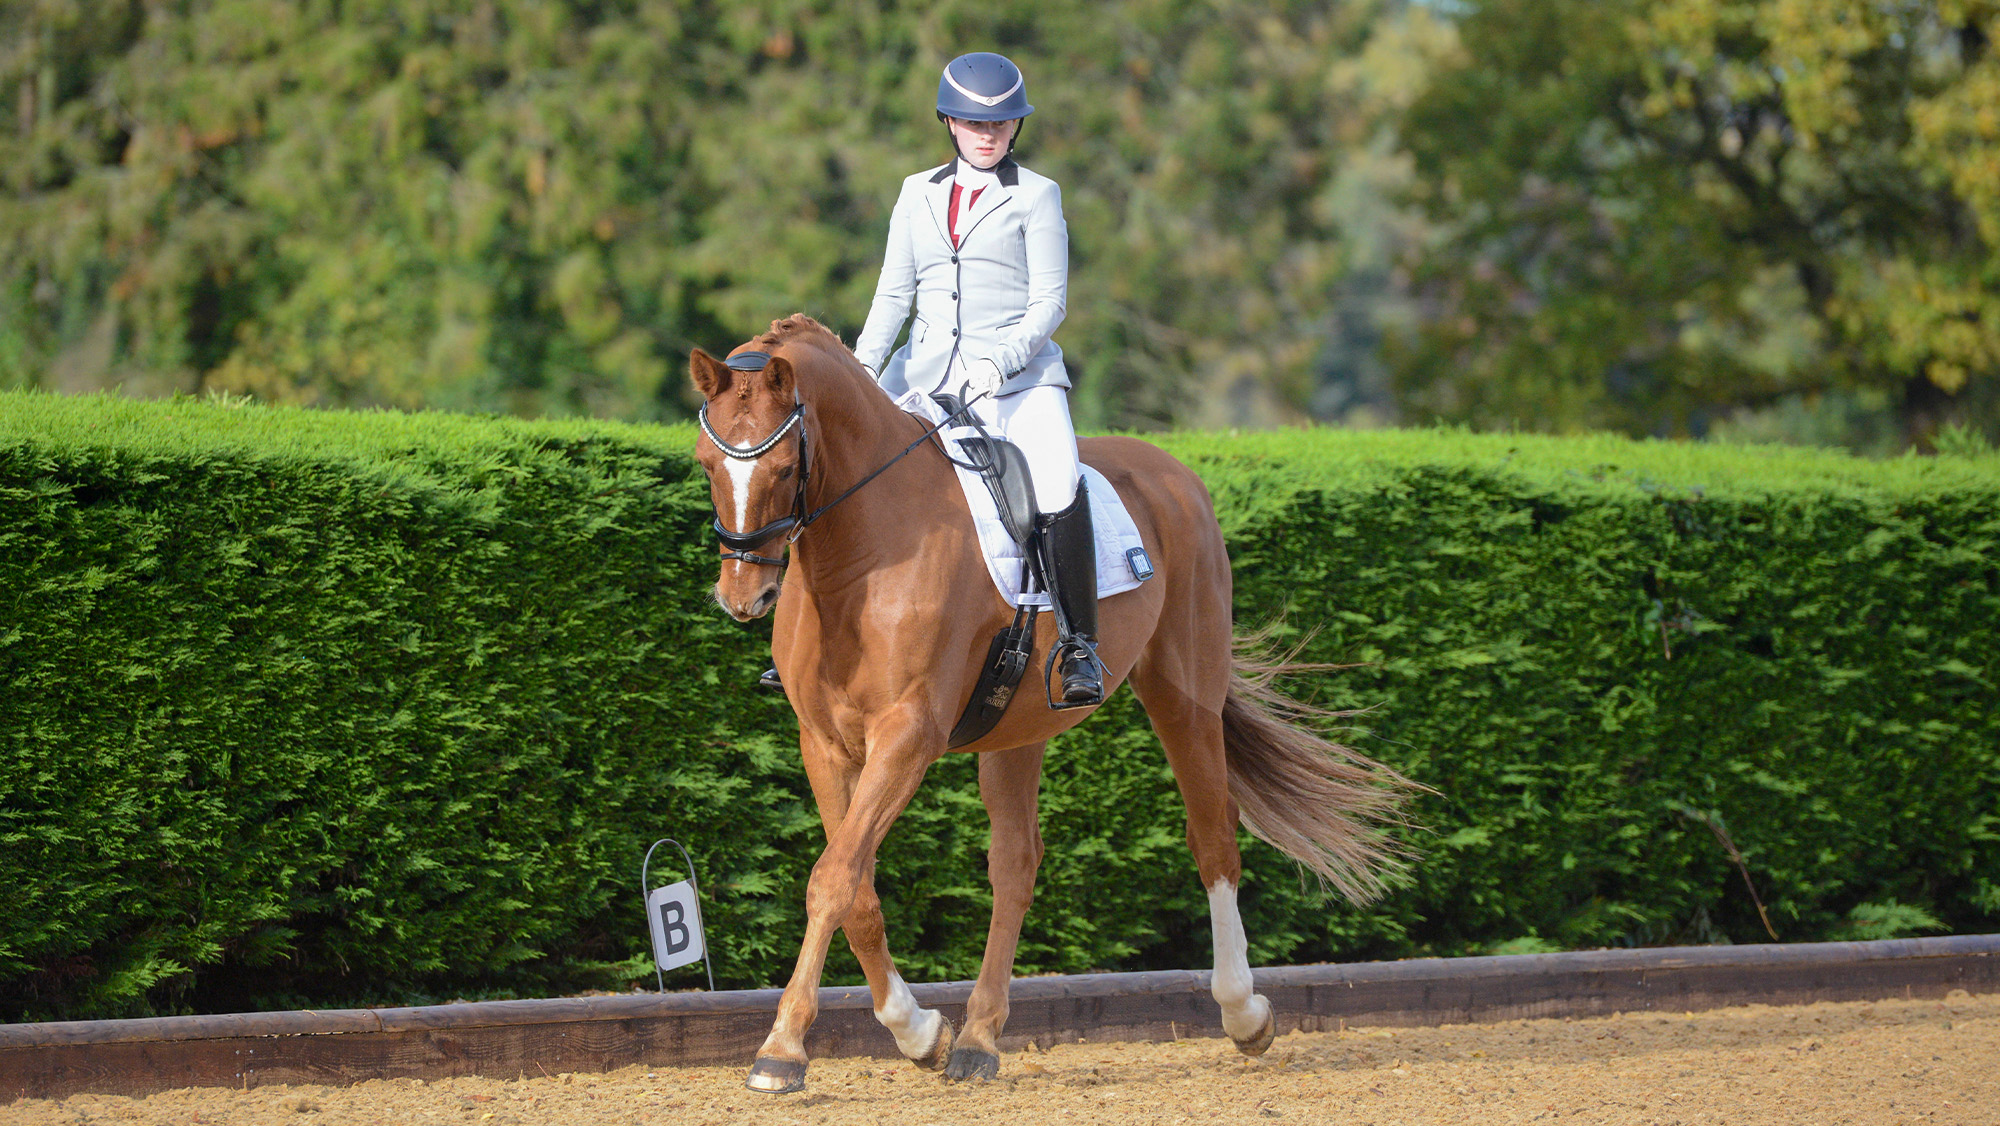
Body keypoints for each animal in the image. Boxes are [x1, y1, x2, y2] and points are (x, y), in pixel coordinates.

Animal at [689, 315, 1417, 1094]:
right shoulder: (825, 742)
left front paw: (781, 1050)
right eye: (706, 464)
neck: (862, 556)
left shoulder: (907, 736)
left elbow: (832, 878)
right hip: (1018, 732)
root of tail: (1175, 473)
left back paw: (1243, 1012)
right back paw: (978, 1038)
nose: (743, 598)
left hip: (1183, 695)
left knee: (1213, 833)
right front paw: (918, 1033)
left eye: (783, 469)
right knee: (1016, 864)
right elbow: (854, 885)